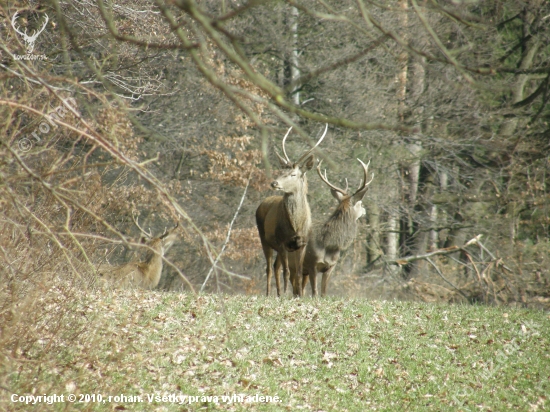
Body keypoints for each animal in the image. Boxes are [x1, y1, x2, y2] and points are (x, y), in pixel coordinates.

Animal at [258, 124, 330, 298]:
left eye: (293, 174)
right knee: (269, 268)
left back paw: (278, 293)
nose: (274, 183)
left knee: (275, 266)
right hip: (264, 238)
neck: (295, 225)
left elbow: (297, 272)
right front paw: (286, 294)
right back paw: (270, 293)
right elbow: (287, 272)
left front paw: (299, 295)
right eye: (280, 171)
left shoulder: (301, 243)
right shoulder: (283, 242)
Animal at [280, 158, 376, 296]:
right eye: (360, 203)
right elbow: (315, 293)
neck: (328, 244)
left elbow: (324, 293)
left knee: (298, 289)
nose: (364, 210)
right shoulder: (312, 263)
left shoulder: (331, 266)